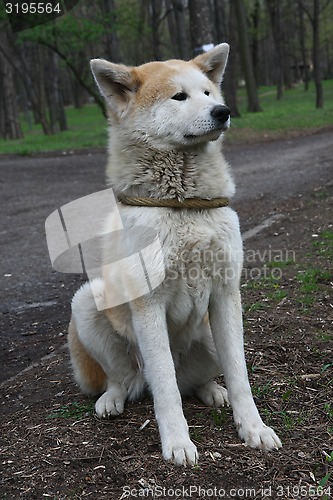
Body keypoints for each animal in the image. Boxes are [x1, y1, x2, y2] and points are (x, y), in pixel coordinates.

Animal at [67, 43, 280, 464]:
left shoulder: (226, 295)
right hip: (88, 303)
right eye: (178, 96)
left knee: (193, 382)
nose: (222, 111)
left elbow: (241, 375)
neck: (182, 204)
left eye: (208, 93)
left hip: (210, 333)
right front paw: (178, 442)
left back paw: (212, 390)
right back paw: (112, 399)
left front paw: (253, 428)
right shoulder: (148, 304)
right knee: (130, 379)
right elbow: (164, 387)